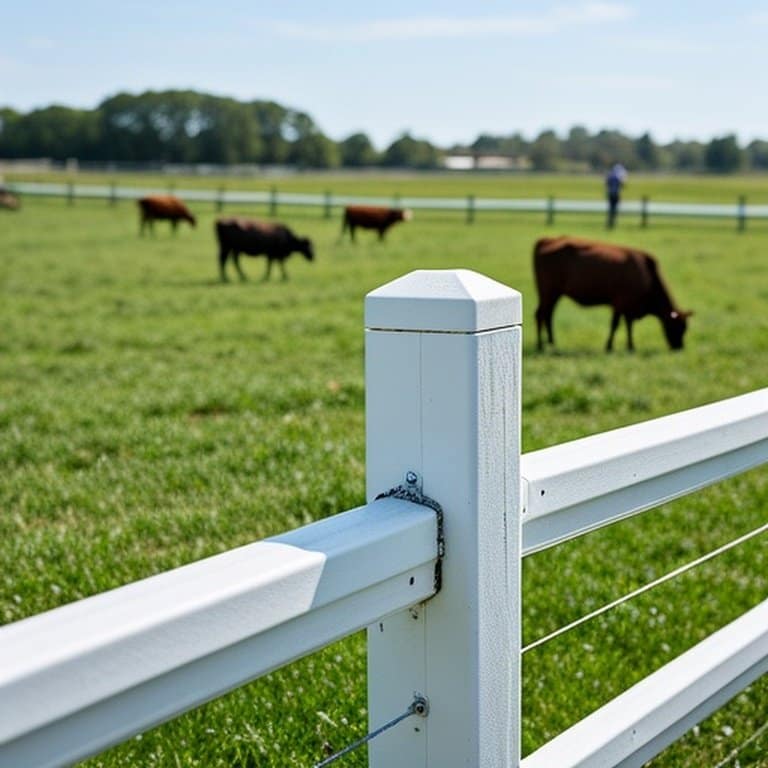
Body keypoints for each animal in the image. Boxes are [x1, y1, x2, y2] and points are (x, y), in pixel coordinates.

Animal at [533, 235, 692, 352]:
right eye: (678, 327)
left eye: (685, 328)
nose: (679, 348)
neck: (647, 276)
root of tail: (546, 239)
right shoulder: (621, 304)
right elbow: (616, 325)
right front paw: (612, 347)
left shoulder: (627, 308)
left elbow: (627, 326)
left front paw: (629, 346)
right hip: (549, 292)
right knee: (541, 315)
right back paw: (540, 345)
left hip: (553, 294)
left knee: (548, 315)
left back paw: (551, 343)